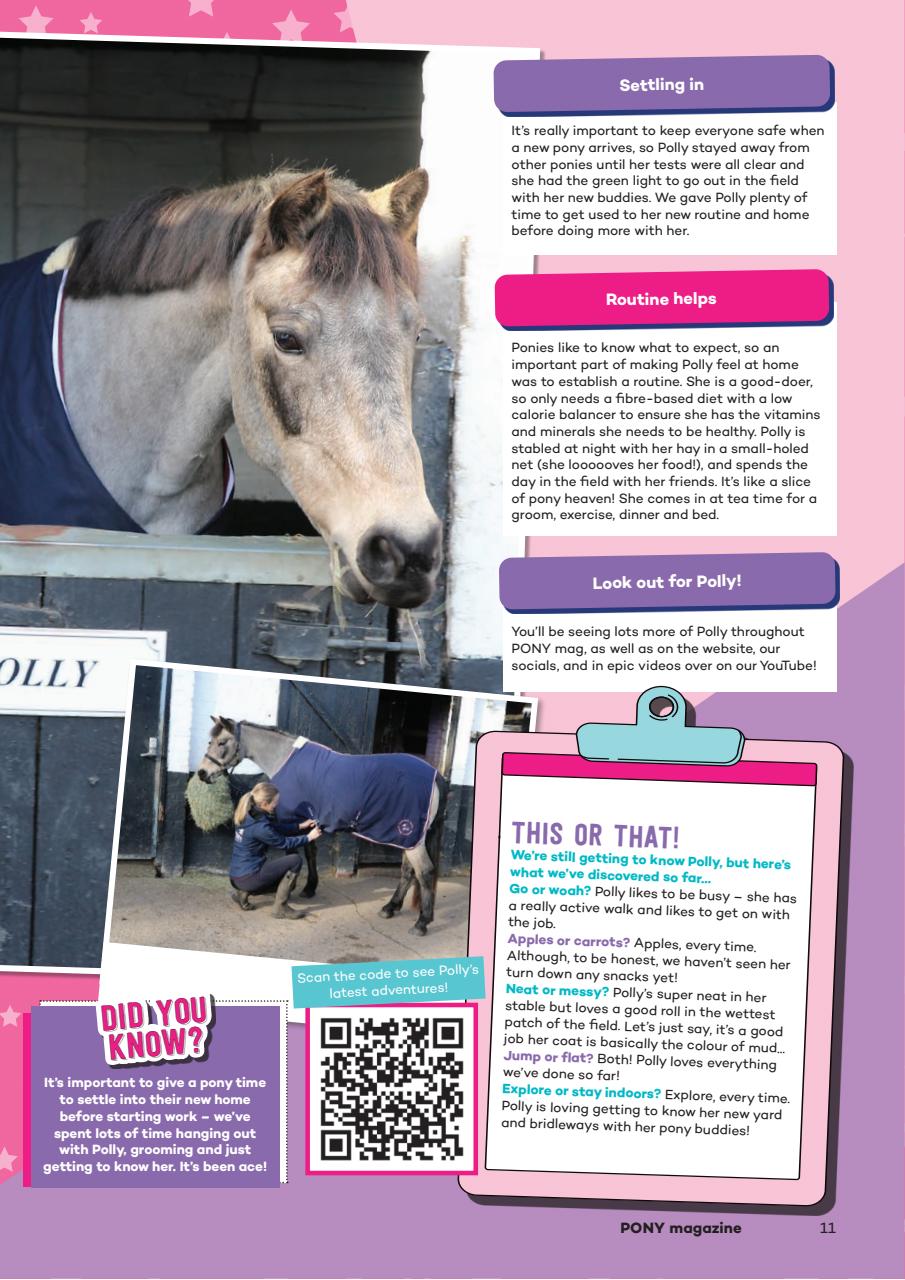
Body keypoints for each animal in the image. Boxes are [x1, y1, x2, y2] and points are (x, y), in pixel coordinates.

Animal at [196, 716, 443, 935]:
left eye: (221, 742)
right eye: (210, 741)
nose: (201, 773)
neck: (285, 758)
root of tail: (434, 778)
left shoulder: (291, 818)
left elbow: (294, 852)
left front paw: (293, 890)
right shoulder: (306, 820)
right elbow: (310, 852)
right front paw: (309, 888)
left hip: (408, 834)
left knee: (424, 872)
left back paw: (421, 923)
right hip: (407, 839)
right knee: (408, 872)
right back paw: (390, 907)